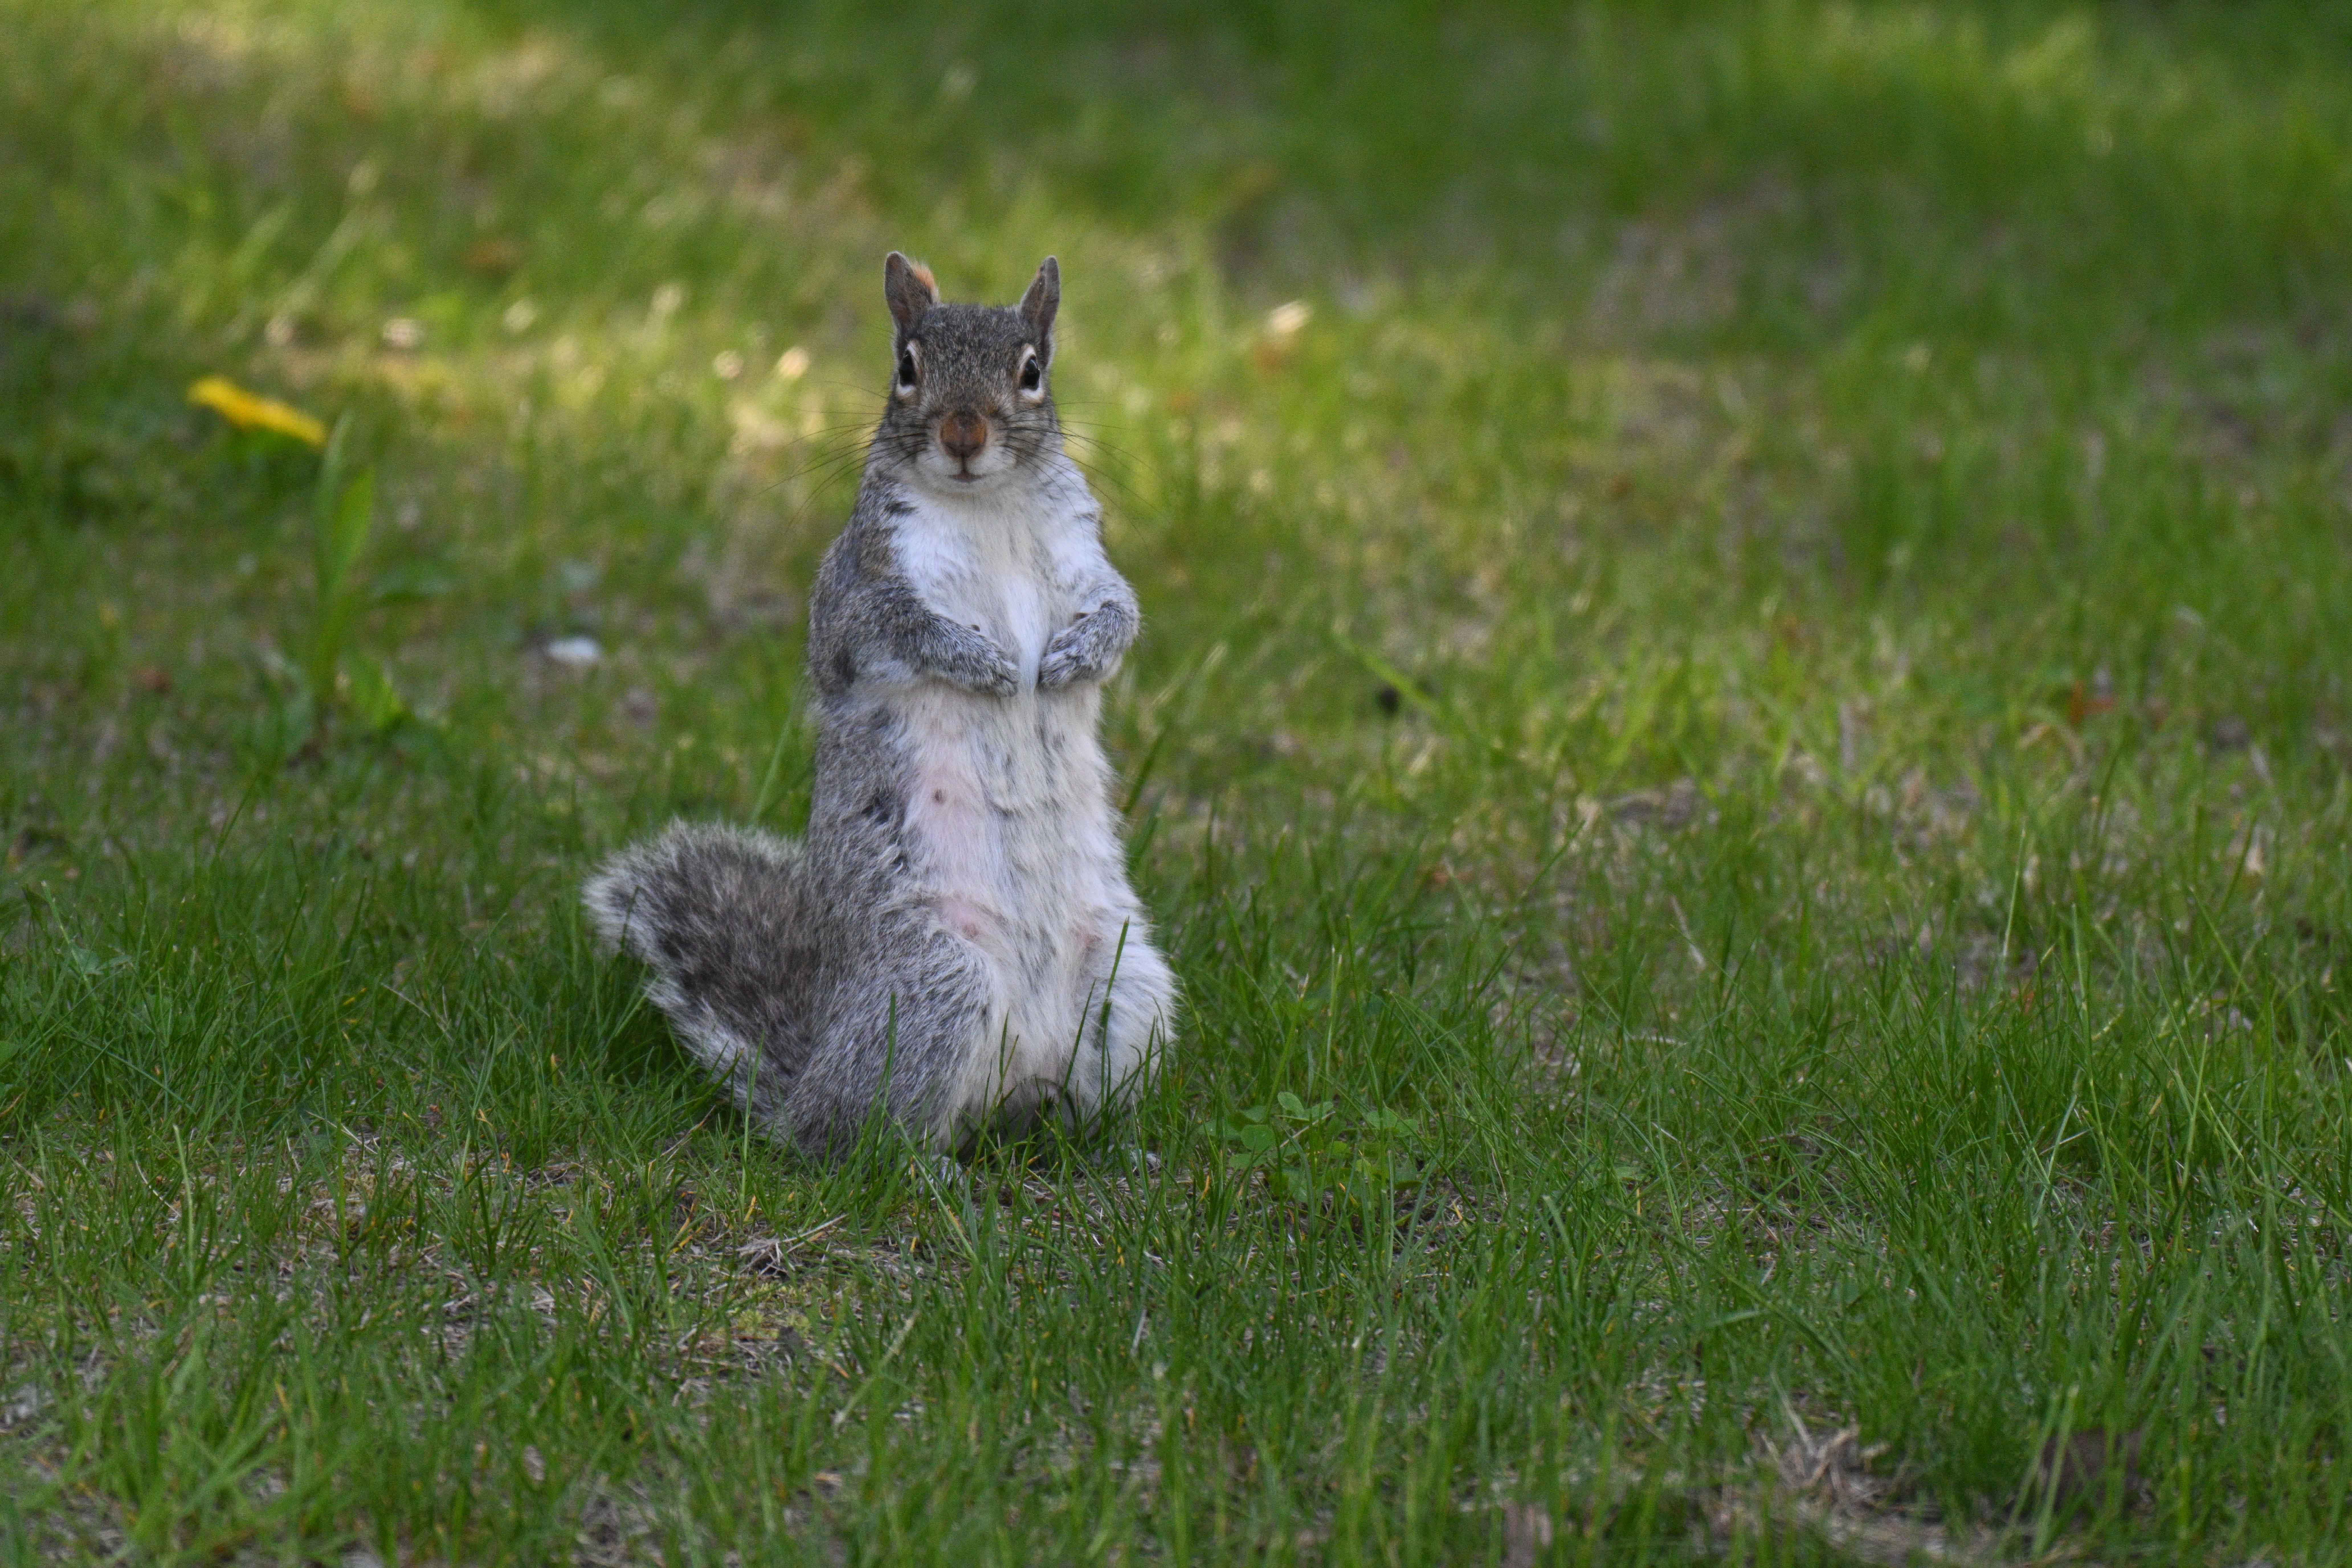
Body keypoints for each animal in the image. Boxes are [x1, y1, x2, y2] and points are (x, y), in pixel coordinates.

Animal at [585, 254, 1178, 1161]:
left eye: (1031, 372)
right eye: (907, 367)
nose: (964, 434)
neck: (989, 506)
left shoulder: (1087, 559)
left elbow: (1123, 611)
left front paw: (1077, 657)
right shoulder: (856, 590)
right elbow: (891, 631)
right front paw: (983, 663)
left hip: (1126, 985)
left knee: (1070, 1107)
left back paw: (1115, 1147)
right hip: (937, 985)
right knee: (861, 1142)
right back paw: (926, 1171)